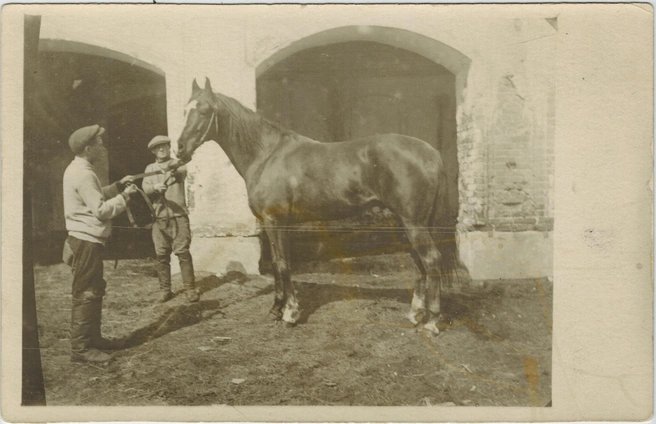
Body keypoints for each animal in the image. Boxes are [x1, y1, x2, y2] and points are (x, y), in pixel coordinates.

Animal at [175, 78, 462, 334]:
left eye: (204, 111)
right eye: (184, 109)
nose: (179, 149)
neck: (266, 155)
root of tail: (430, 152)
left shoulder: (276, 221)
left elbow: (283, 265)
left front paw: (290, 313)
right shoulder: (270, 224)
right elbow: (277, 264)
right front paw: (275, 310)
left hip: (413, 224)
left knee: (431, 259)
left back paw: (431, 322)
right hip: (407, 223)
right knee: (419, 262)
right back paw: (415, 314)